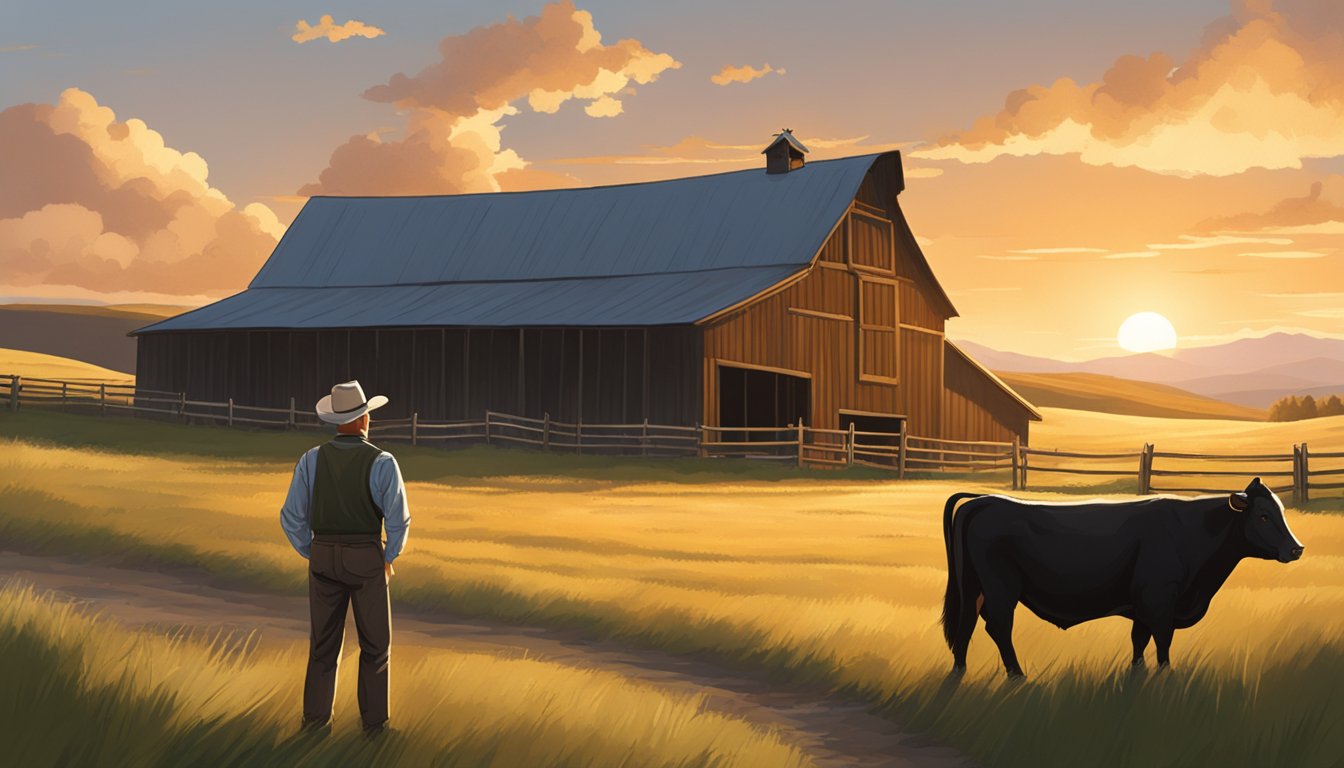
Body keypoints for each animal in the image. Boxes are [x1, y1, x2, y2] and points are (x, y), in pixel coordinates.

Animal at [946, 481, 1300, 677]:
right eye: (1263, 516)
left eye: (1280, 511)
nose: (1296, 548)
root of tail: (982, 501)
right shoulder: (1159, 599)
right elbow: (1163, 642)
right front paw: (1166, 678)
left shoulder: (1143, 606)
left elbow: (1139, 642)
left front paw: (1137, 676)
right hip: (1000, 587)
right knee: (998, 627)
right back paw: (1017, 676)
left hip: (973, 587)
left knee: (965, 626)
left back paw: (959, 673)